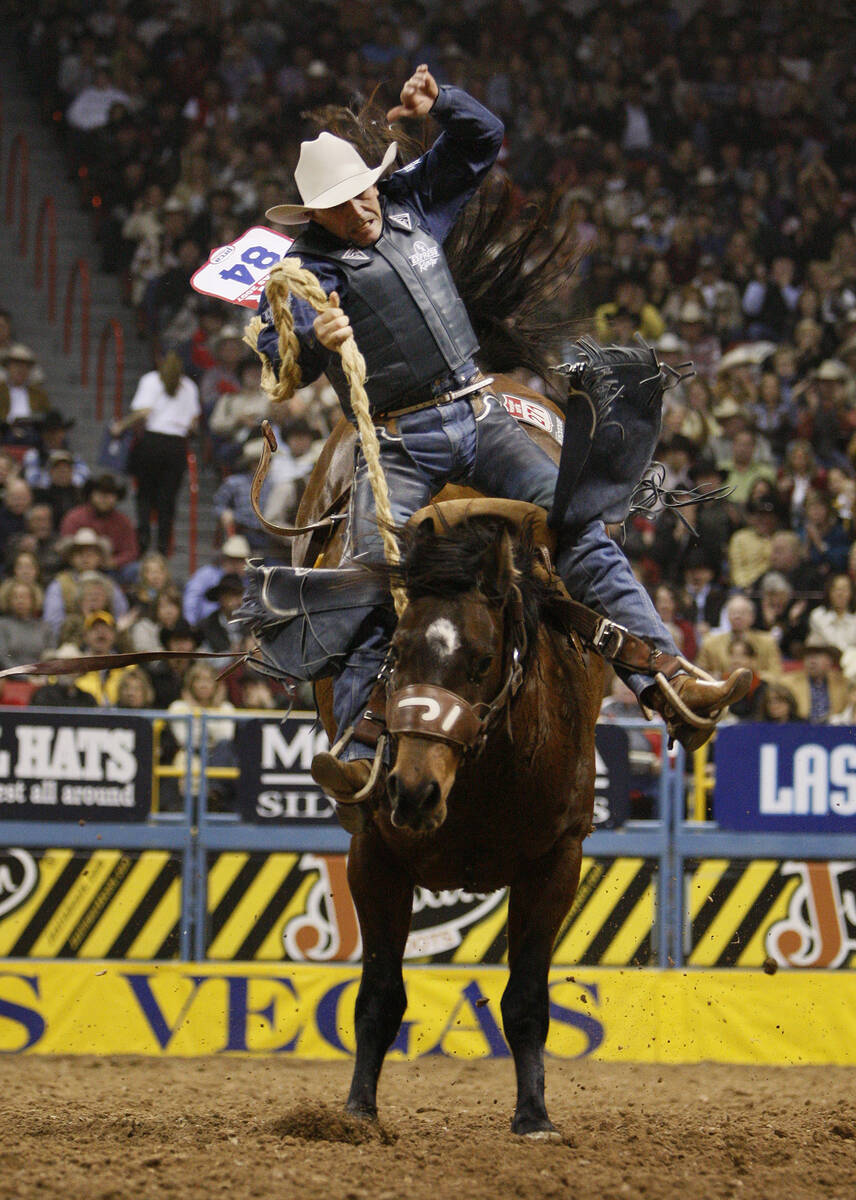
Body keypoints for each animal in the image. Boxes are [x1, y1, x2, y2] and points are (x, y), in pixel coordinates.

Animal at [333, 501, 600, 1137]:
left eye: (481, 661)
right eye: (394, 653)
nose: (413, 790)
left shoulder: (557, 863)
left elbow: (526, 999)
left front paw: (534, 1115)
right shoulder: (374, 858)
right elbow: (379, 995)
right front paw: (359, 1111)